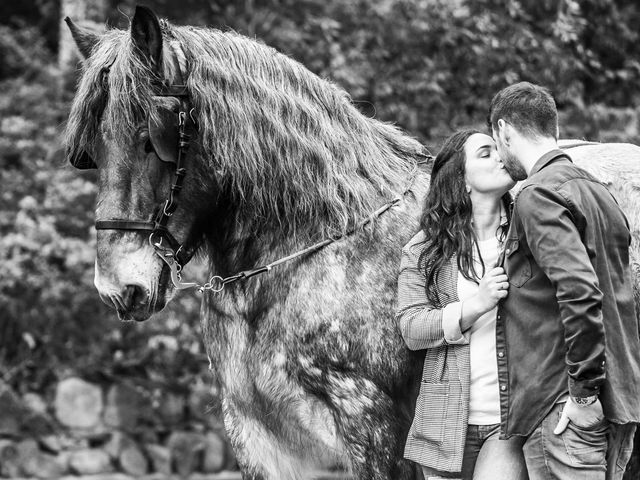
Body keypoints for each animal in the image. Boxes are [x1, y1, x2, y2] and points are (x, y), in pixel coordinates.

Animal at [63, 4, 640, 480]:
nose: (119, 288)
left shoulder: (372, 431)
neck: (313, 247)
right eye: (93, 149)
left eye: (150, 139)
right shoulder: (258, 439)